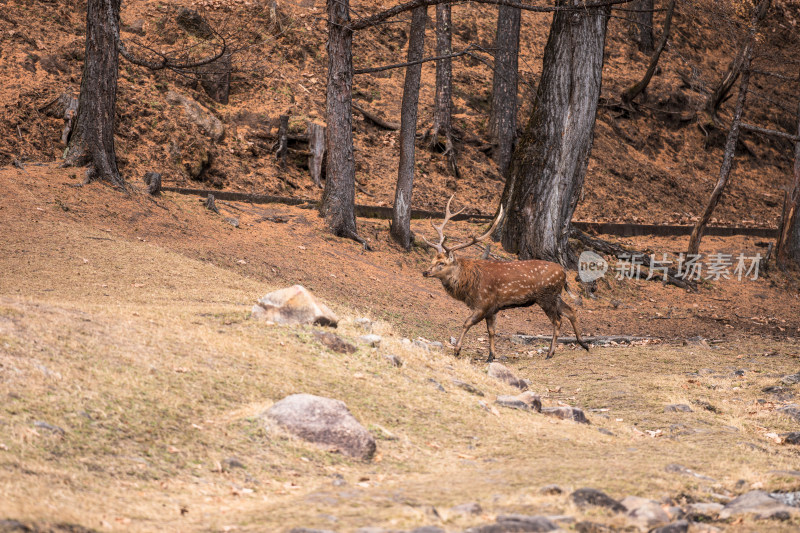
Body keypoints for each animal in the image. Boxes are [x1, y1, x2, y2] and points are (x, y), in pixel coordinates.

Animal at [422, 195, 592, 362]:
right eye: (432, 260)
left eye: (442, 263)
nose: (425, 272)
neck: (469, 284)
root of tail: (564, 273)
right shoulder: (492, 308)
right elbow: (491, 331)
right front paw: (491, 356)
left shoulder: (483, 303)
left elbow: (466, 323)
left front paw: (457, 350)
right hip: (555, 296)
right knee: (571, 311)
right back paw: (584, 344)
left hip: (546, 297)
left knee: (558, 321)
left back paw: (550, 353)